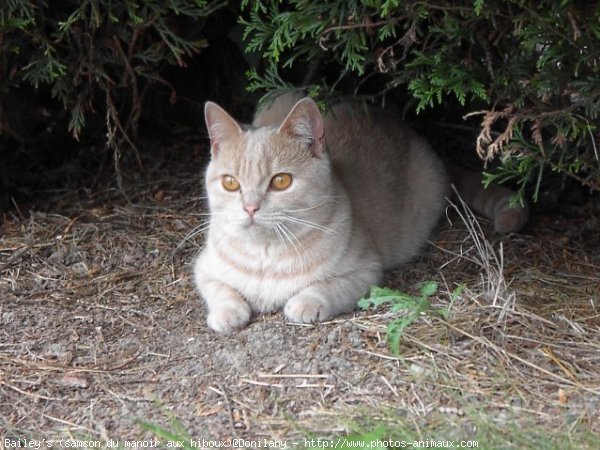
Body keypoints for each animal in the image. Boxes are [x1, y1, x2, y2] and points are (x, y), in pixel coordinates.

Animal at [195, 91, 528, 332]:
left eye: (281, 181)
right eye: (230, 183)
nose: (250, 207)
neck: (266, 257)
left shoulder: (366, 272)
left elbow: (326, 288)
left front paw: (305, 303)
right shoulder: (203, 267)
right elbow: (220, 289)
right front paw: (227, 312)